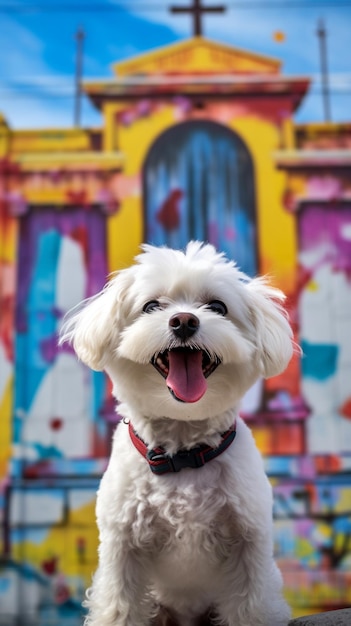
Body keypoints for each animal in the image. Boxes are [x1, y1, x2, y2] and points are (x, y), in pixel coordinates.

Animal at [60, 240, 294, 624]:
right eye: (152, 306)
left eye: (217, 307)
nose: (184, 320)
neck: (183, 453)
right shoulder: (122, 543)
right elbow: (119, 607)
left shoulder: (249, 541)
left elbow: (251, 607)